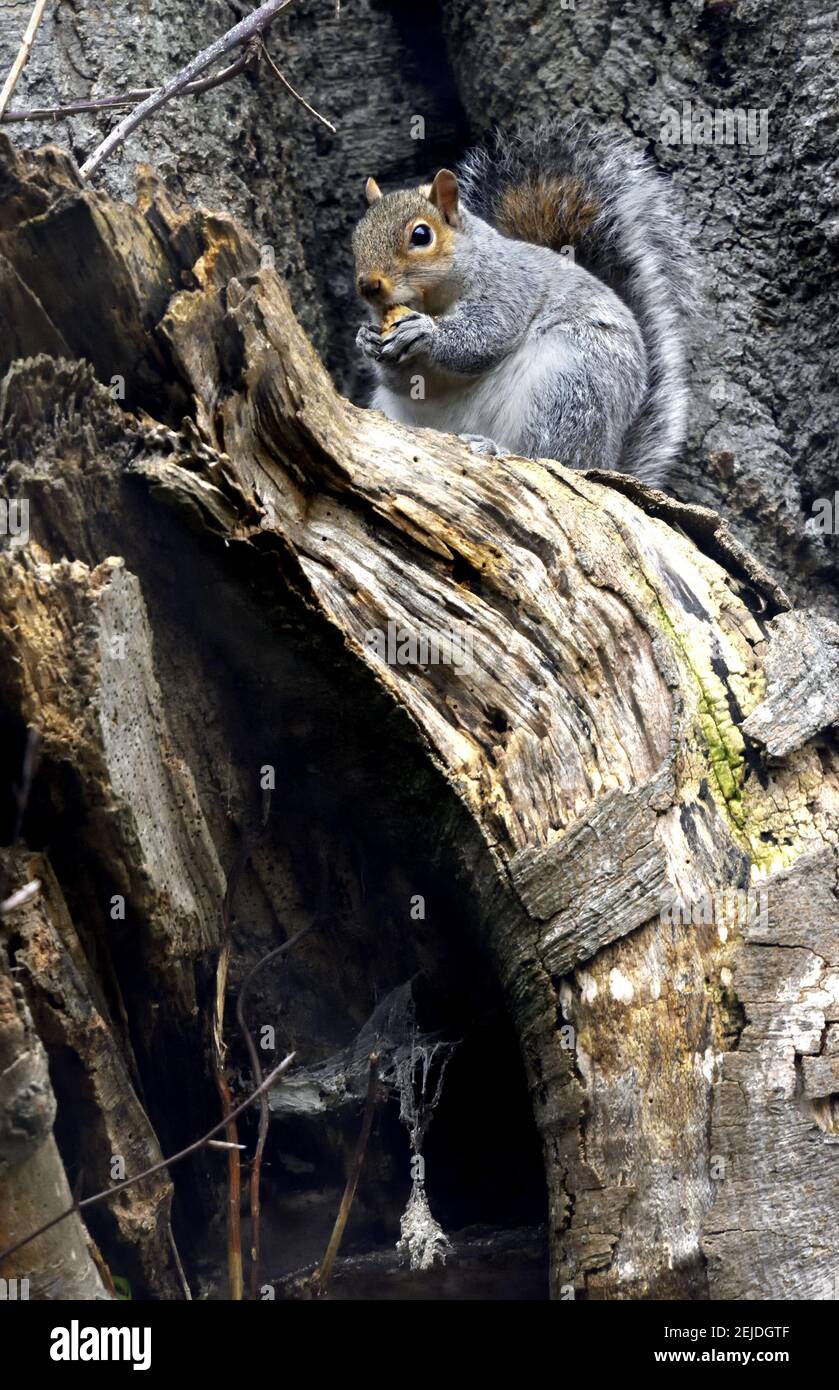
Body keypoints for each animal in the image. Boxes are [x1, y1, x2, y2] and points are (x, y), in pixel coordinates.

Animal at [353, 117, 698, 488]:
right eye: (355, 238)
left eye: (421, 235)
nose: (368, 285)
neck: (433, 301)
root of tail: (606, 459)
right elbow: (406, 382)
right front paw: (366, 338)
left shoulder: (511, 287)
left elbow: (482, 338)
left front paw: (425, 333)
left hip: (570, 383)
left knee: (553, 457)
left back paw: (497, 448)